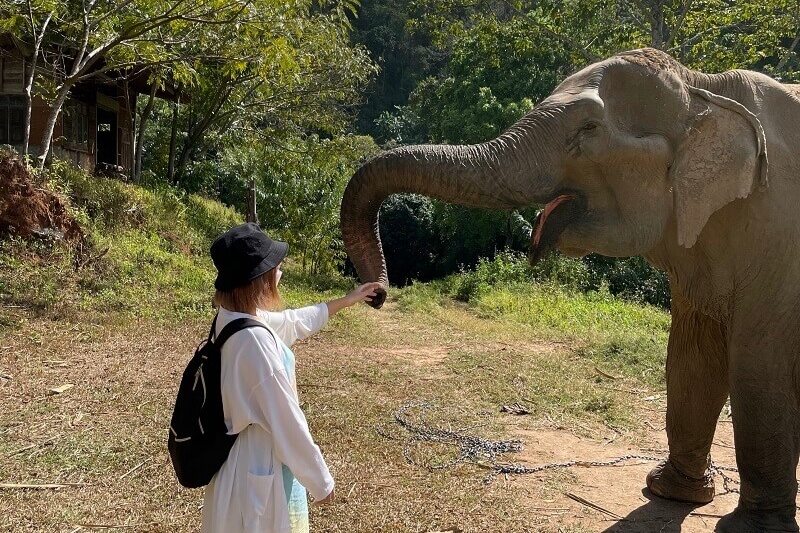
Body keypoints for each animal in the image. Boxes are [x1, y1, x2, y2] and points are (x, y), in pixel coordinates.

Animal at [340, 47, 800, 528]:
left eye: (588, 129)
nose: (378, 295)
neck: (704, 89)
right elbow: (693, 356)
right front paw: (667, 491)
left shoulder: (779, 232)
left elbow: (758, 363)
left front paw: (752, 527)